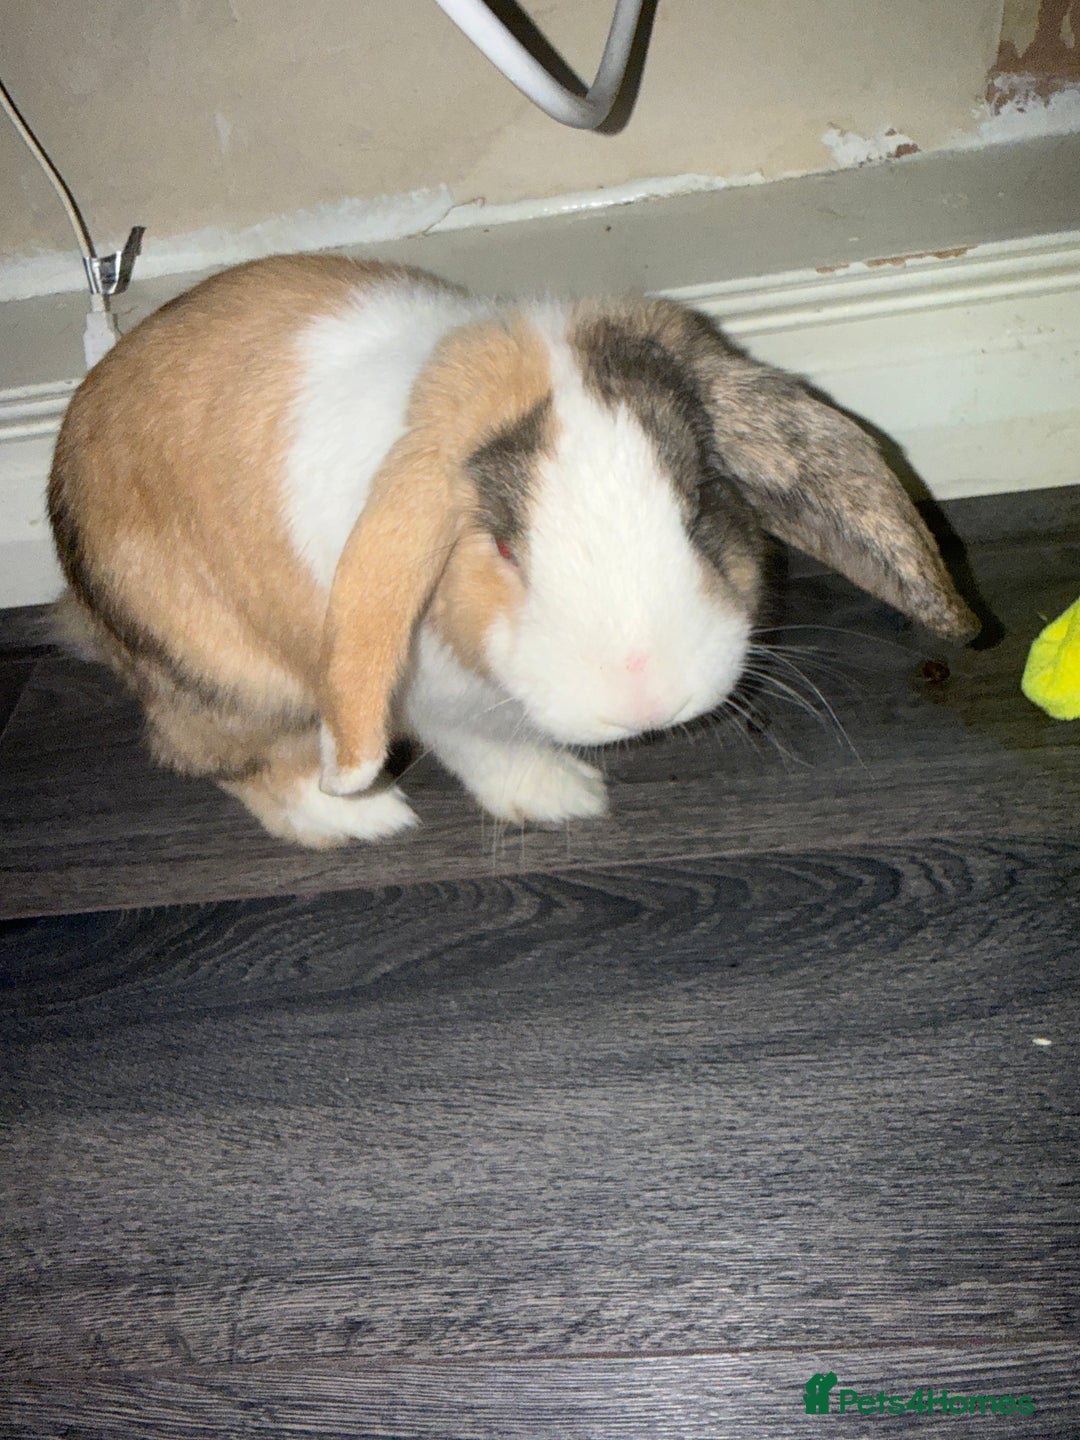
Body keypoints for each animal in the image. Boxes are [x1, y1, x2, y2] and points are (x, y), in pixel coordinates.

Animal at [48, 253, 978, 848]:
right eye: (502, 545)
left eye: (698, 506)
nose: (648, 702)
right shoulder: (426, 695)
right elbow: (484, 746)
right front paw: (566, 797)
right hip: (226, 675)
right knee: (209, 754)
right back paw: (362, 817)